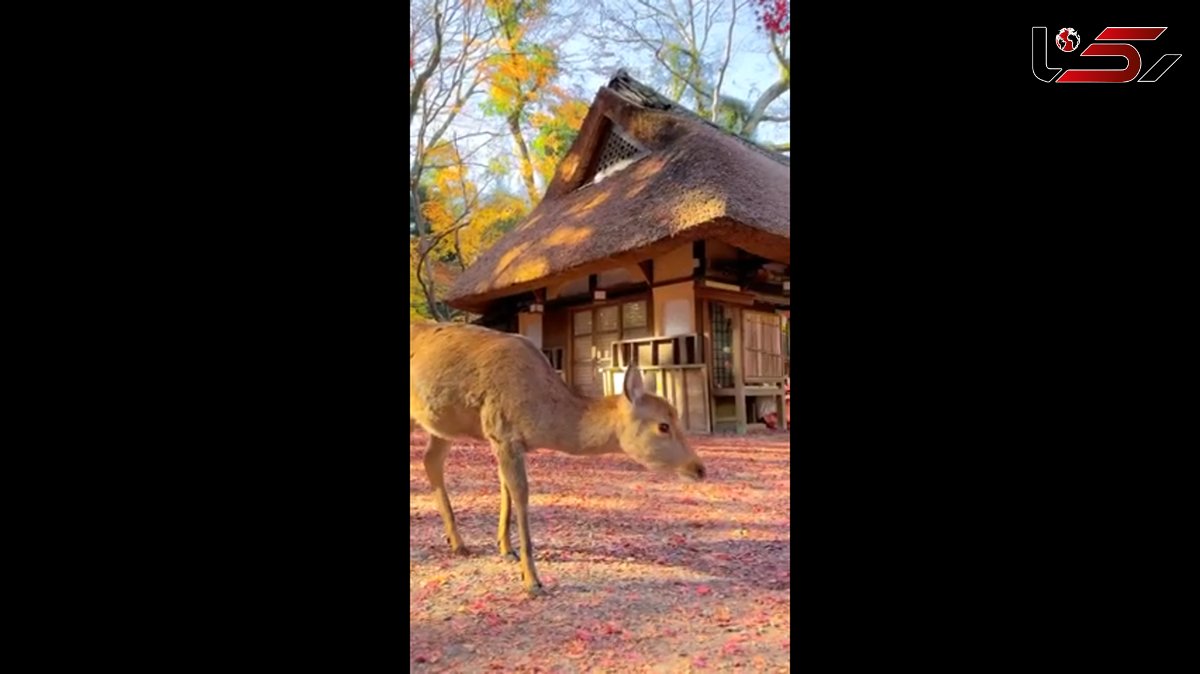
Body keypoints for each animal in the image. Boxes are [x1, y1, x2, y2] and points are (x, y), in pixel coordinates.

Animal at [410, 319, 700, 592]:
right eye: (663, 425)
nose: (699, 468)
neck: (541, 415)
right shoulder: (503, 431)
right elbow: (520, 494)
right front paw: (532, 581)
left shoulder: (501, 440)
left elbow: (504, 487)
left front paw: (506, 549)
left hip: (442, 425)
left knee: (431, 460)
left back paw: (458, 543)